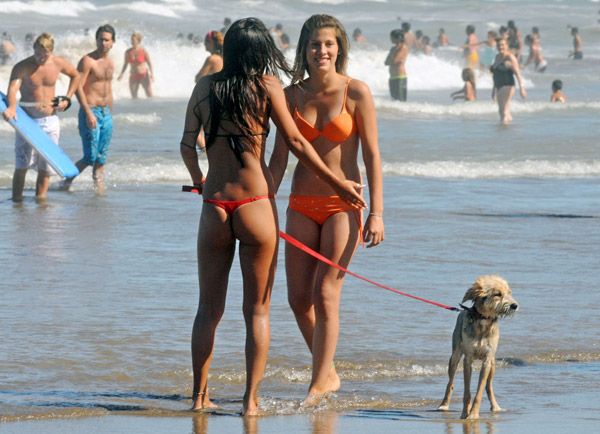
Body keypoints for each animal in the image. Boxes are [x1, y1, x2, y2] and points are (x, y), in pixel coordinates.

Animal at [438, 275, 518, 419]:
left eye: (509, 292)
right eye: (498, 294)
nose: (515, 305)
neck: (483, 320)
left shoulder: (487, 360)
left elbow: (480, 390)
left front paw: (473, 414)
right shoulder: (467, 359)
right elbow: (467, 392)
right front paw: (465, 412)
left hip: (493, 364)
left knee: (489, 386)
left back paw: (495, 407)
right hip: (454, 357)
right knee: (450, 382)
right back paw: (444, 405)